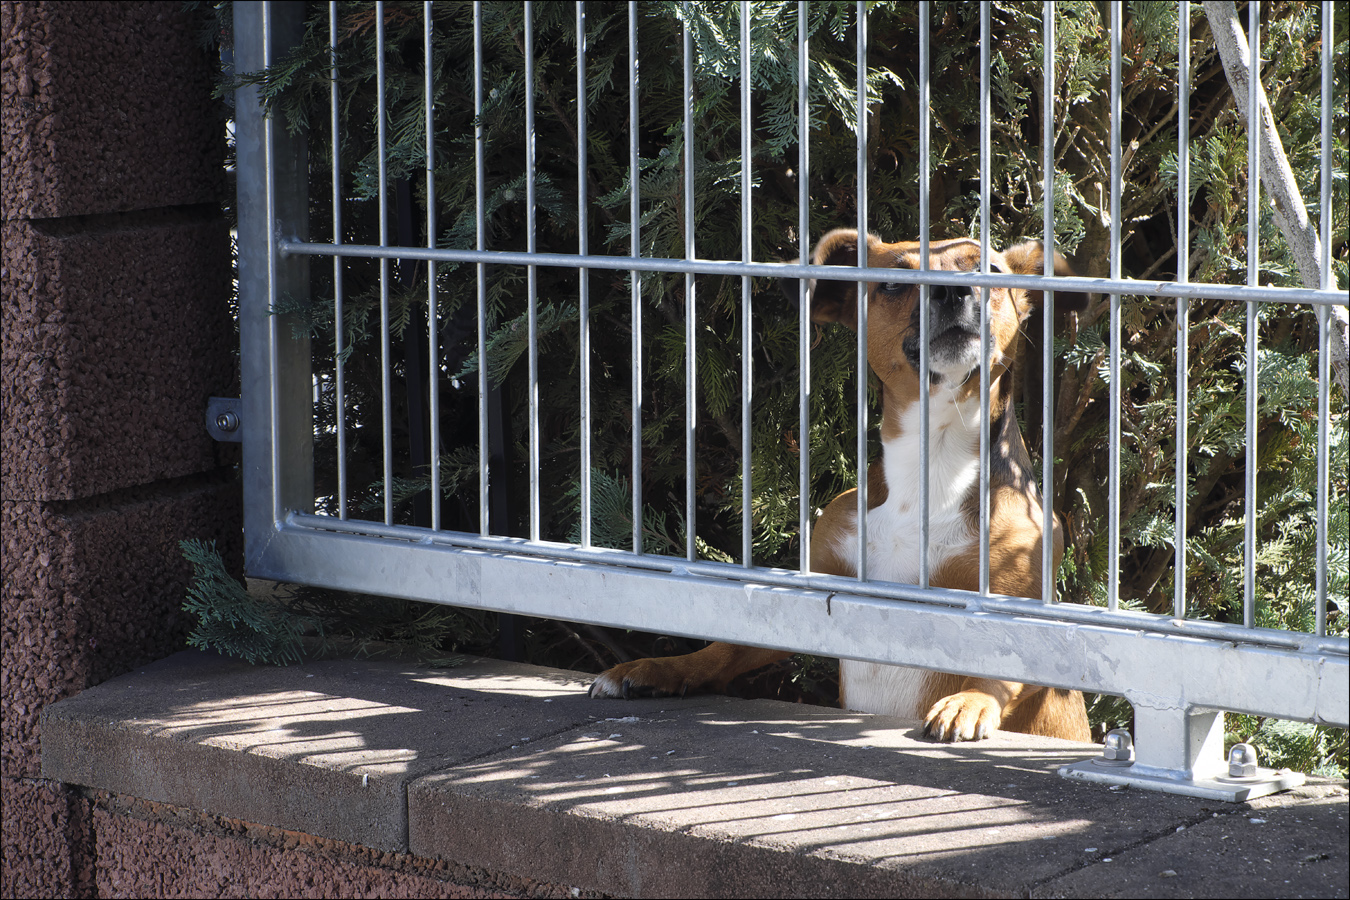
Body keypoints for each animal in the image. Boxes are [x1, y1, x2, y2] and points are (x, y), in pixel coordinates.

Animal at [591, 229, 1096, 744]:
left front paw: (970, 701)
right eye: (892, 282)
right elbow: (725, 648)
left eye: (990, 271)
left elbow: (1002, 669)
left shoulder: (1024, 612)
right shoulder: (817, 591)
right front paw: (661, 667)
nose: (953, 292)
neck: (933, 462)